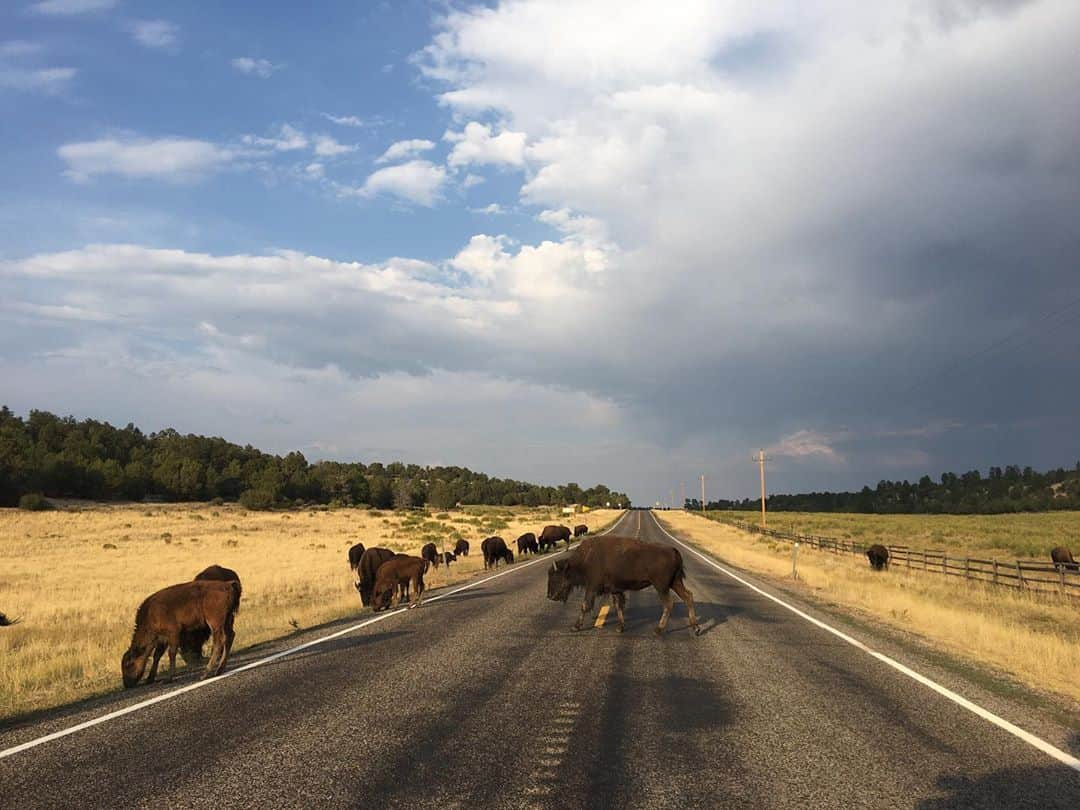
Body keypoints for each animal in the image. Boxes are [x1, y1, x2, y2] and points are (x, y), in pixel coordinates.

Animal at [544, 535, 704, 639]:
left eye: (556, 576)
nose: (550, 596)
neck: (584, 560)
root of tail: (673, 551)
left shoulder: (592, 588)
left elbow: (584, 606)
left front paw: (575, 627)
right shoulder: (615, 590)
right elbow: (618, 606)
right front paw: (620, 628)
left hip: (661, 586)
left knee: (668, 604)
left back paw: (657, 630)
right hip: (675, 583)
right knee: (688, 597)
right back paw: (696, 628)